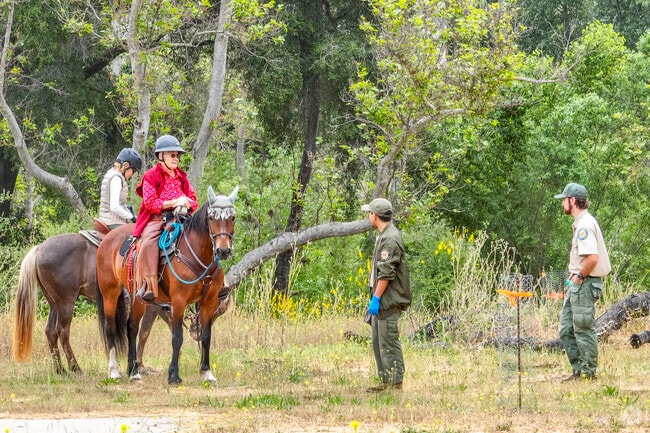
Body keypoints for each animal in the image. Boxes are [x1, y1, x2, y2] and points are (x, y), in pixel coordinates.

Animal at [13, 232, 171, 374]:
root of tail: (39, 248)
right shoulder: (151, 305)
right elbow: (145, 332)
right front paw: (139, 365)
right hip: (66, 302)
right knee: (62, 331)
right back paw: (75, 367)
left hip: (54, 304)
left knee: (50, 332)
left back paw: (60, 369)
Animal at [96, 185, 237, 385]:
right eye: (211, 218)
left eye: (232, 217)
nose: (223, 250)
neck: (197, 254)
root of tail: (108, 238)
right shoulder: (178, 302)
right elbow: (177, 337)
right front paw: (174, 376)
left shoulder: (208, 302)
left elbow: (206, 336)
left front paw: (206, 372)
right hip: (110, 292)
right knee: (110, 328)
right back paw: (114, 370)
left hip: (139, 299)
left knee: (132, 327)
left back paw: (134, 371)